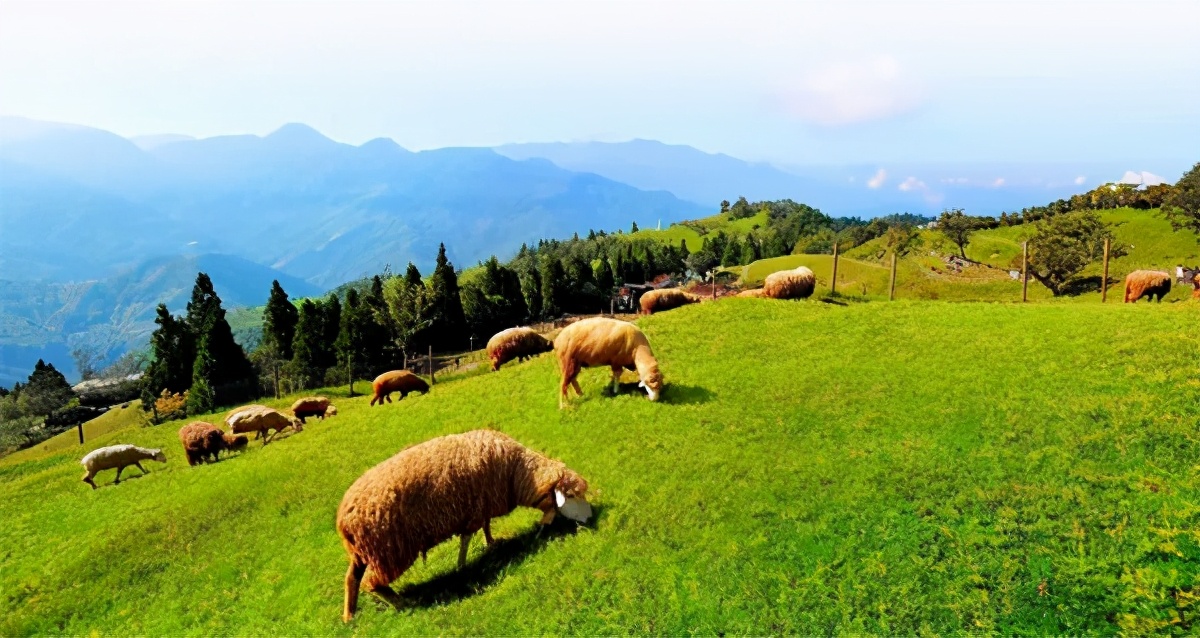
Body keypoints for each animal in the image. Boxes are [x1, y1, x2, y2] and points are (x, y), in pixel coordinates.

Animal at [336, 429, 588, 623]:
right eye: (571, 495)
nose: (588, 521)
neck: (516, 474)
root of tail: (343, 520)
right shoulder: (474, 510)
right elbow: (466, 539)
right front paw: (462, 565)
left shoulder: (482, 505)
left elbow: (486, 526)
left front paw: (490, 543)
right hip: (388, 552)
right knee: (371, 583)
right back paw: (402, 602)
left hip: (362, 553)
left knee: (351, 579)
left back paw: (349, 615)